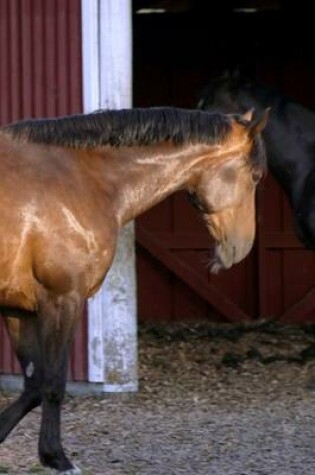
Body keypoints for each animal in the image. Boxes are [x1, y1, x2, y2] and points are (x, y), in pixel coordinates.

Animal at [0, 106, 270, 474]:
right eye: (255, 176)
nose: (239, 249)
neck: (82, 180)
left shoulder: (20, 309)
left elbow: (33, 384)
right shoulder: (62, 300)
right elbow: (52, 382)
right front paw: (56, 457)